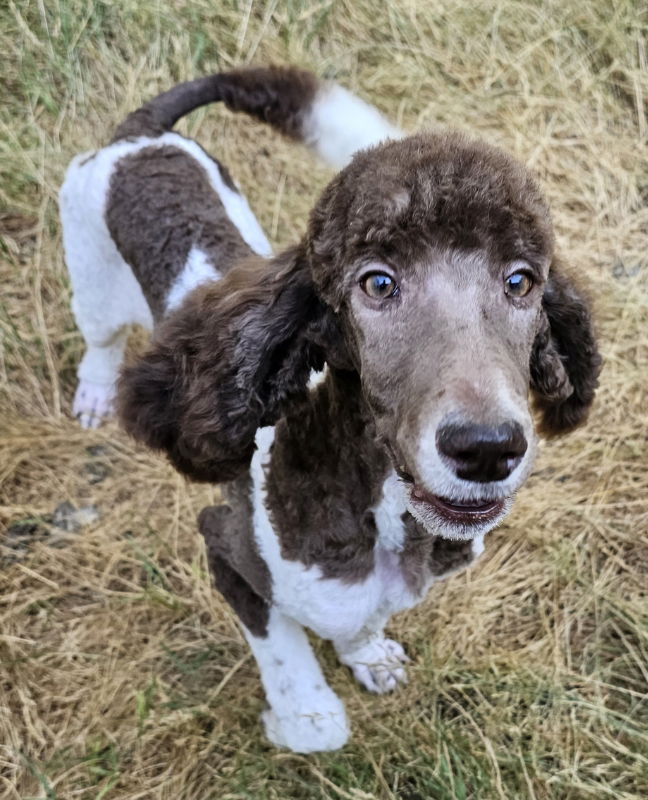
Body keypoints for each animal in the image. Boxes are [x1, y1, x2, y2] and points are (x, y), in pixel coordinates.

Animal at [58, 65, 600, 752]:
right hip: (90, 277)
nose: (487, 449)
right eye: (377, 283)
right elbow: (300, 679)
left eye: (521, 281)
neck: (387, 519)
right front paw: (301, 716)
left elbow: (359, 620)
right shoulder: (228, 552)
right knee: (101, 340)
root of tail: (141, 135)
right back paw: (95, 393)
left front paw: (367, 657)